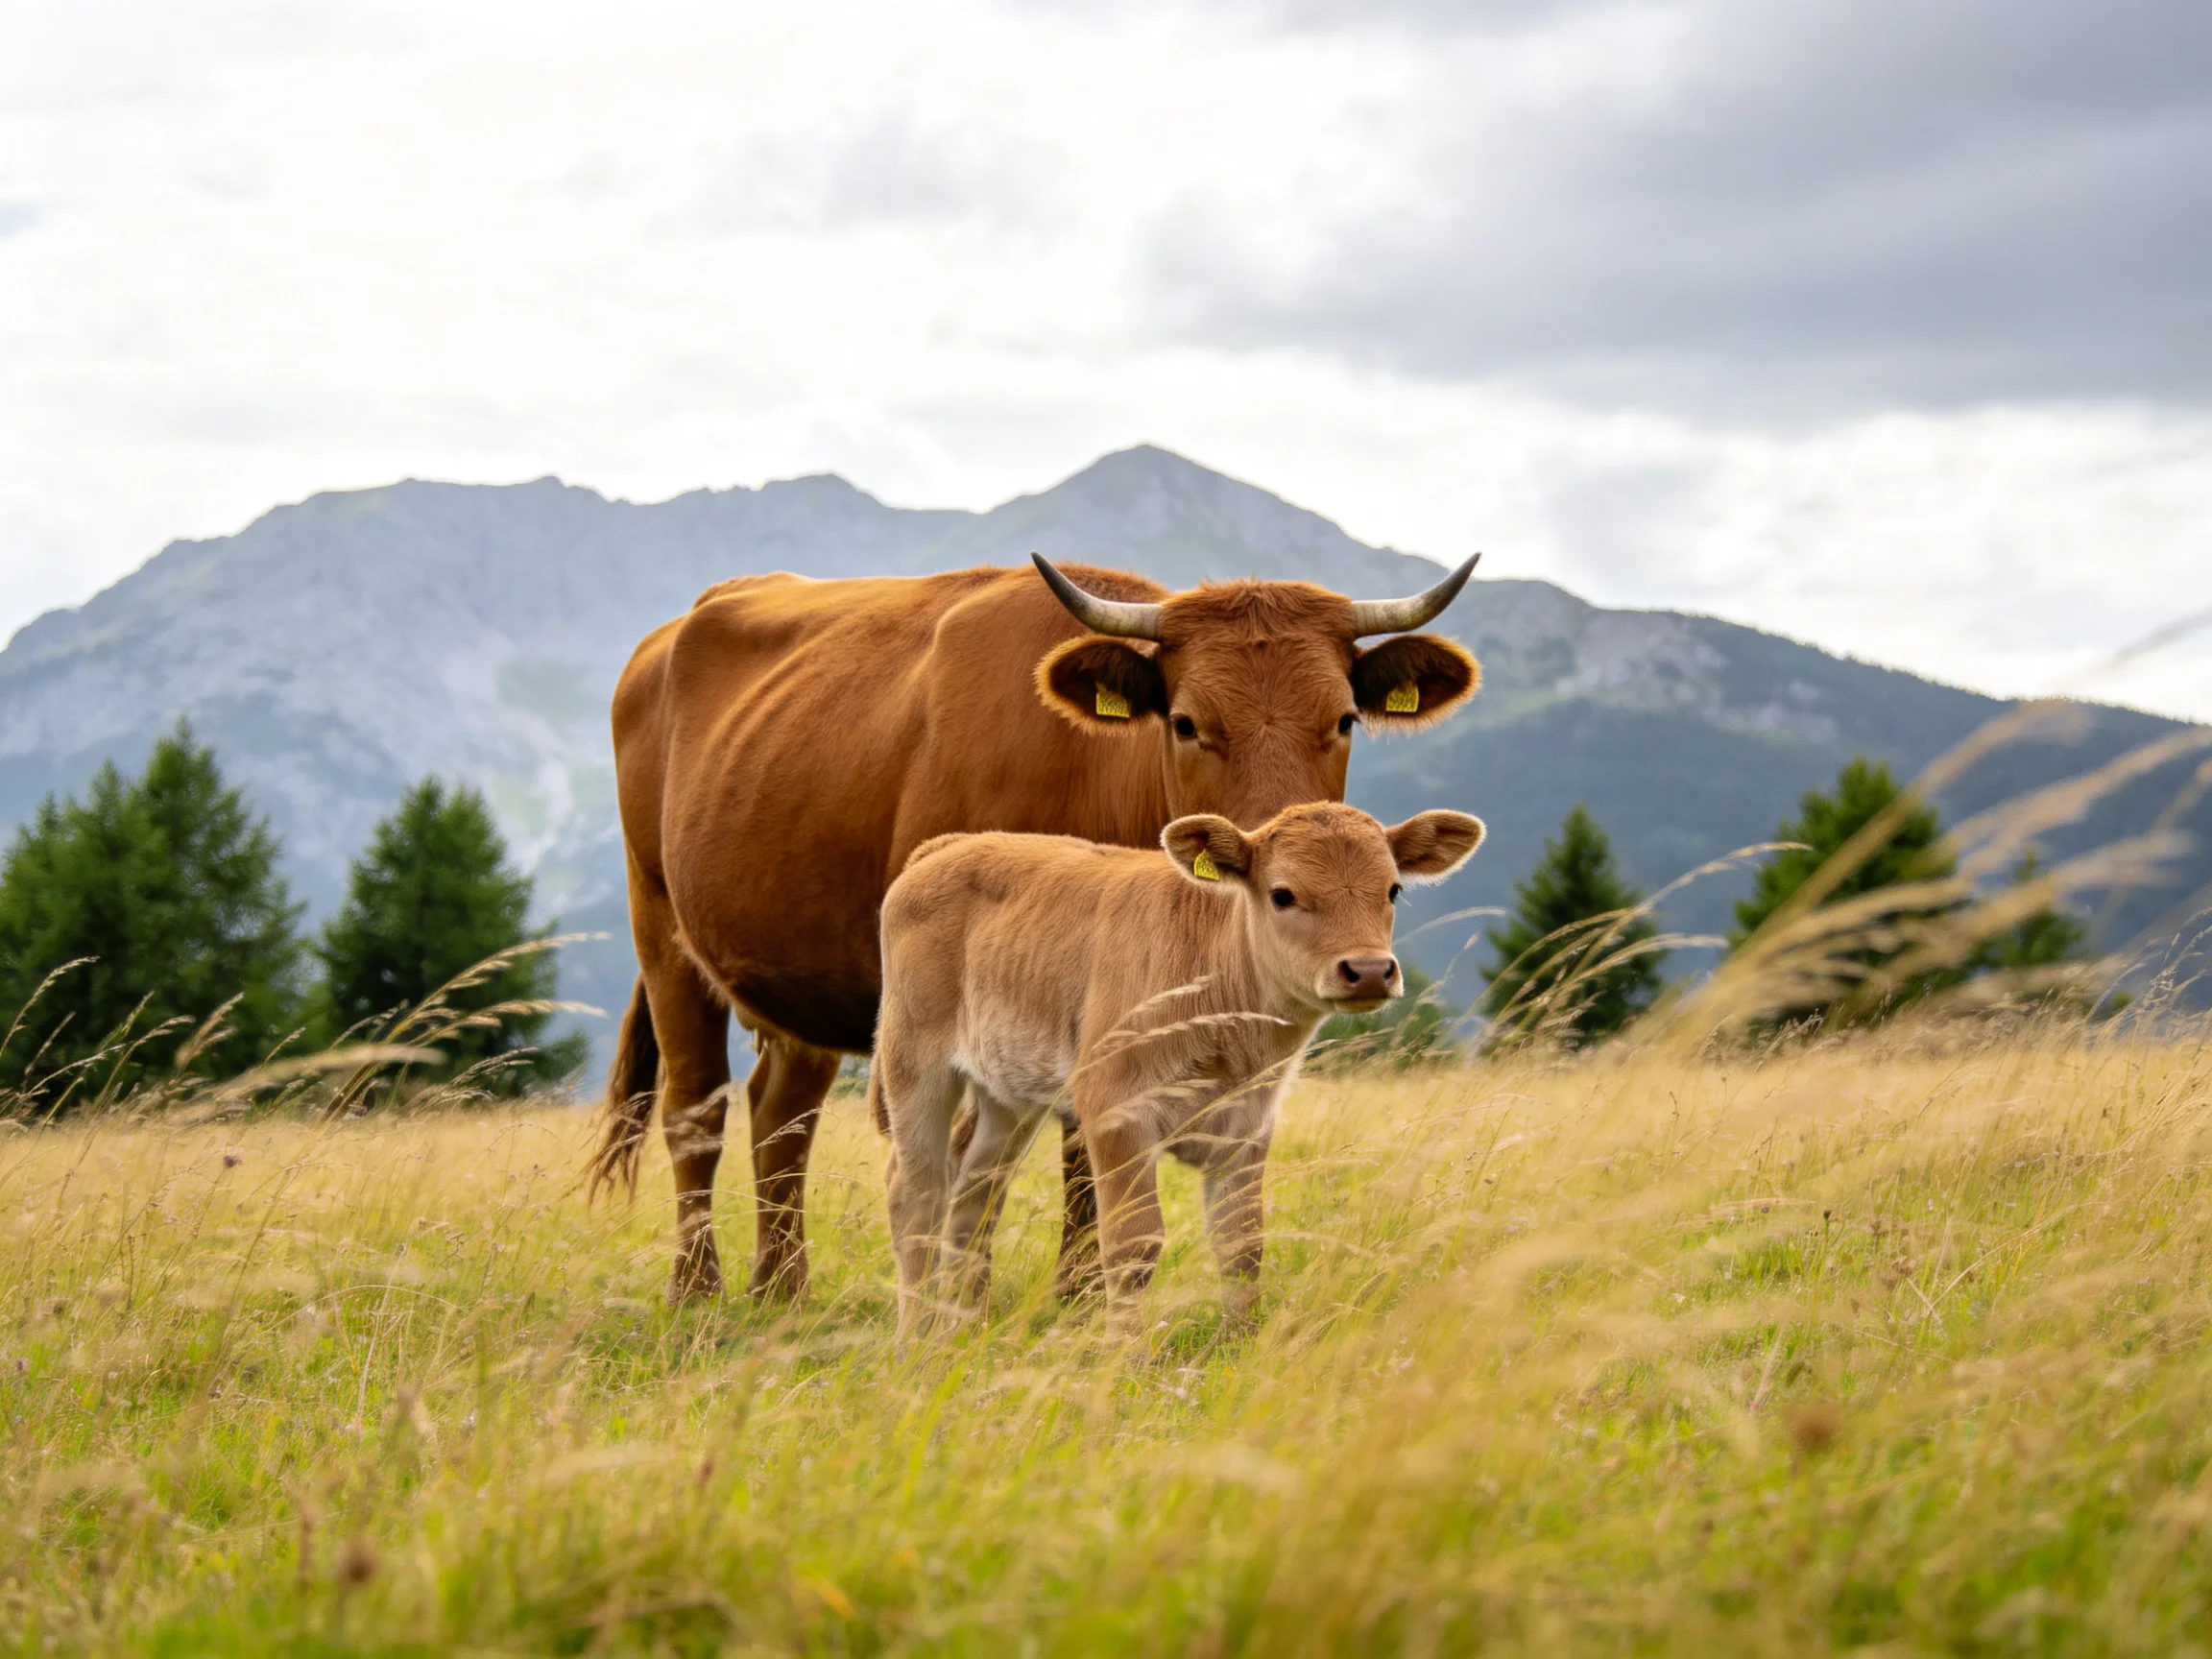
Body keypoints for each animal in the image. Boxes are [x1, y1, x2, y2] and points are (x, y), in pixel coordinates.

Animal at [872, 801, 1486, 1338]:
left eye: (1393, 889)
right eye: (1283, 894)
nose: (1369, 970)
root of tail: (951, 845)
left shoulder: (1248, 1125)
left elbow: (1242, 1243)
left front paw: (1240, 1345)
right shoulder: (1116, 1110)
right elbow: (1133, 1244)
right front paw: (1127, 1358)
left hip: (1008, 1092)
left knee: (974, 1194)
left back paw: (963, 1330)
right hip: (916, 1061)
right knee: (915, 1193)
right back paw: (915, 1338)